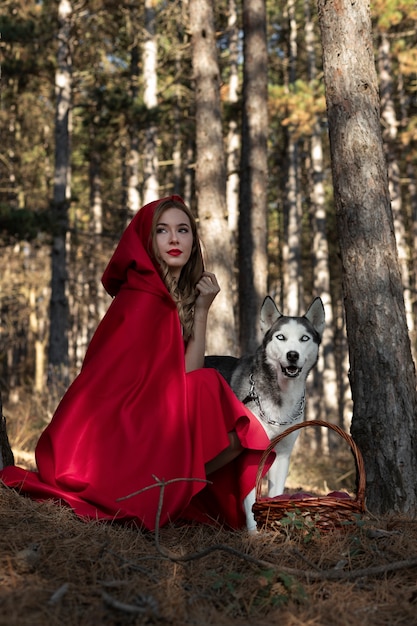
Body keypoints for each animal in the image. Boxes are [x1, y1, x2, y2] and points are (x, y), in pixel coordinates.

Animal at [205, 294, 324, 528]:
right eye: (281, 337)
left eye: (304, 338)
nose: (292, 355)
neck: (279, 398)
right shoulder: (252, 453)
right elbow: (250, 498)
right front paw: (254, 533)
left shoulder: (283, 453)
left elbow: (276, 493)